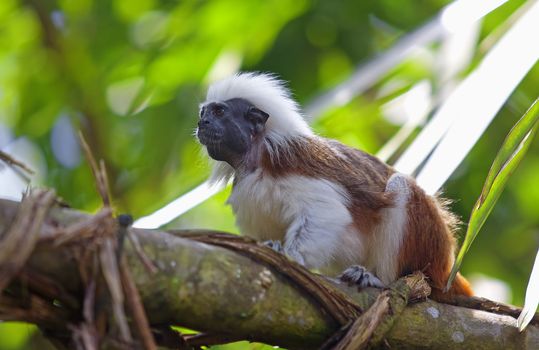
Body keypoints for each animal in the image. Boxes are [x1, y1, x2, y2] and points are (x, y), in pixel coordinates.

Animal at [197, 72, 472, 300]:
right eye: (204, 114)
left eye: (219, 112)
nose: (202, 124)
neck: (257, 160)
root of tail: (449, 264)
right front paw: (271, 248)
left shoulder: (293, 167)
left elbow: (326, 213)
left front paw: (288, 256)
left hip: (430, 251)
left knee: (401, 187)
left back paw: (380, 280)